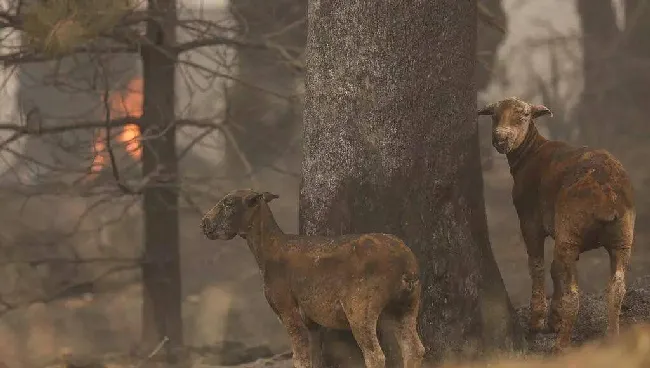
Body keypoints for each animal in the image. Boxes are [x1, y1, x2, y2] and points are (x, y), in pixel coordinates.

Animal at [201, 190, 426, 368]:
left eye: (229, 203)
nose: (204, 223)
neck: (267, 252)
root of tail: (406, 262)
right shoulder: (312, 321)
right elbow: (316, 359)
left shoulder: (287, 310)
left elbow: (300, 359)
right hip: (405, 306)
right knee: (415, 349)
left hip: (361, 309)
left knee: (375, 355)